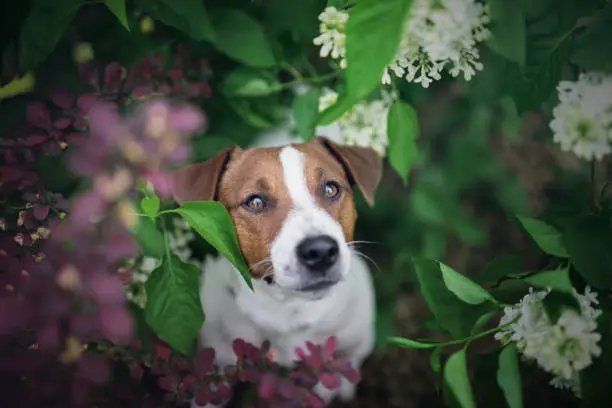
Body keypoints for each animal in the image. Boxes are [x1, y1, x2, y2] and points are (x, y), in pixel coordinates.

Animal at [172, 132, 380, 406]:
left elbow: (347, 361)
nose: (321, 251)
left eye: (331, 188)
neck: (287, 308)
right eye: (255, 201)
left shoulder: (356, 336)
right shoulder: (218, 352)